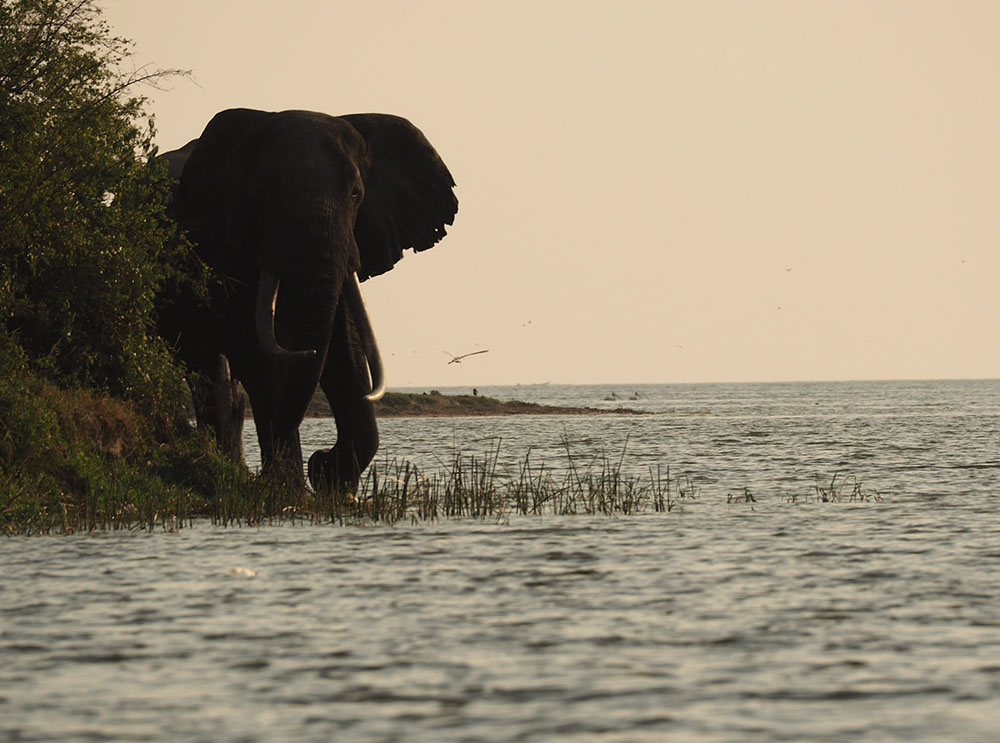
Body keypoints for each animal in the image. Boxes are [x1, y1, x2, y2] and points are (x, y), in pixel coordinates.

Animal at [158, 107, 458, 492]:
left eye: (356, 195)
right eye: (261, 194)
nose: (321, 459)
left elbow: (343, 350)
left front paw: (325, 478)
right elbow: (256, 352)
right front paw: (287, 488)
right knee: (205, 366)